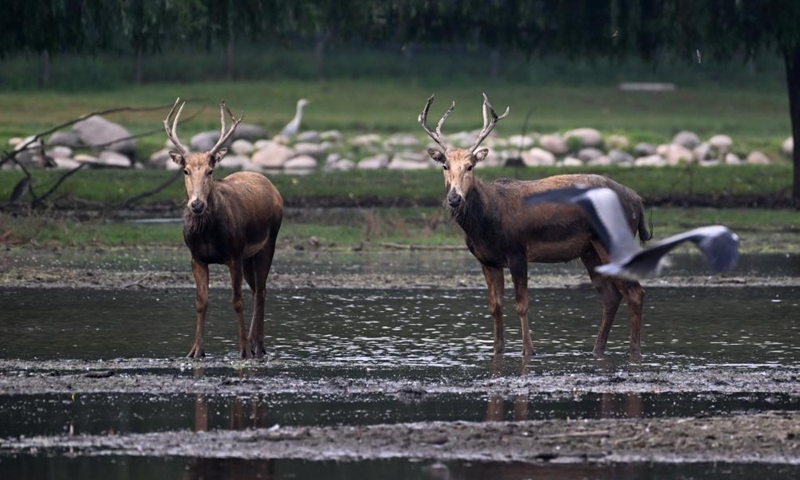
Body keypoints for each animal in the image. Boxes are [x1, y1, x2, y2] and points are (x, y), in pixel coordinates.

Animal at [164, 98, 283, 359]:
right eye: (186, 170)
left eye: (210, 171)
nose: (197, 204)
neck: (208, 236)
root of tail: (271, 186)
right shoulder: (197, 257)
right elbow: (201, 302)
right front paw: (196, 351)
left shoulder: (234, 254)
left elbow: (236, 301)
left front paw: (242, 350)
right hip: (250, 255)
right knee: (256, 289)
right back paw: (254, 342)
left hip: (269, 241)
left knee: (261, 290)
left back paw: (257, 345)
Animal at [419, 93, 651, 360]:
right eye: (445, 165)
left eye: (470, 166)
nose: (454, 198)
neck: (484, 225)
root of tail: (637, 200)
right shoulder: (487, 260)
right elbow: (495, 307)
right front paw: (497, 351)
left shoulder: (518, 251)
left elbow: (522, 304)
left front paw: (528, 350)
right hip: (589, 250)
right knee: (611, 296)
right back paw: (597, 349)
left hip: (613, 240)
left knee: (635, 292)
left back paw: (634, 351)